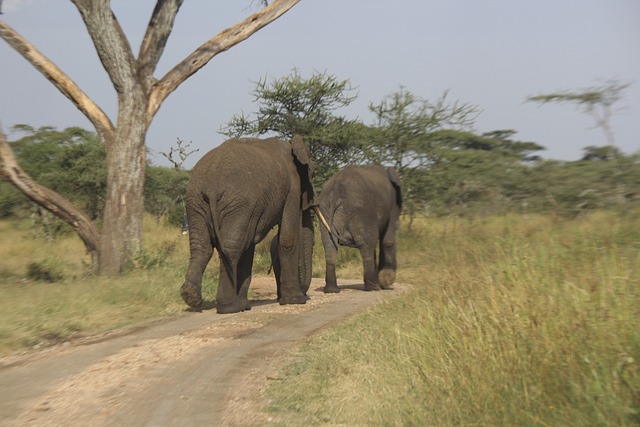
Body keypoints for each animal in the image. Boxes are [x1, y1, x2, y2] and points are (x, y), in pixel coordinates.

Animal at [180, 136, 316, 314]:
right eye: (312, 173)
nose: (305, 295)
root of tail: (212, 186)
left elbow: (249, 245)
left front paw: (245, 305)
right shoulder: (292, 188)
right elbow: (287, 240)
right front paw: (295, 301)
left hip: (196, 201)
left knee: (203, 247)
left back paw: (191, 296)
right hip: (237, 202)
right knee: (231, 247)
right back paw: (229, 307)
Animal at [318, 165, 402, 294]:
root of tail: (336, 190)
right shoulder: (393, 205)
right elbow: (388, 240)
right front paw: (386, 282)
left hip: (325, 210)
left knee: (330, 246)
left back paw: (332, 290)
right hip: (361, 212)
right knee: (367, 244)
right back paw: (373, 288)